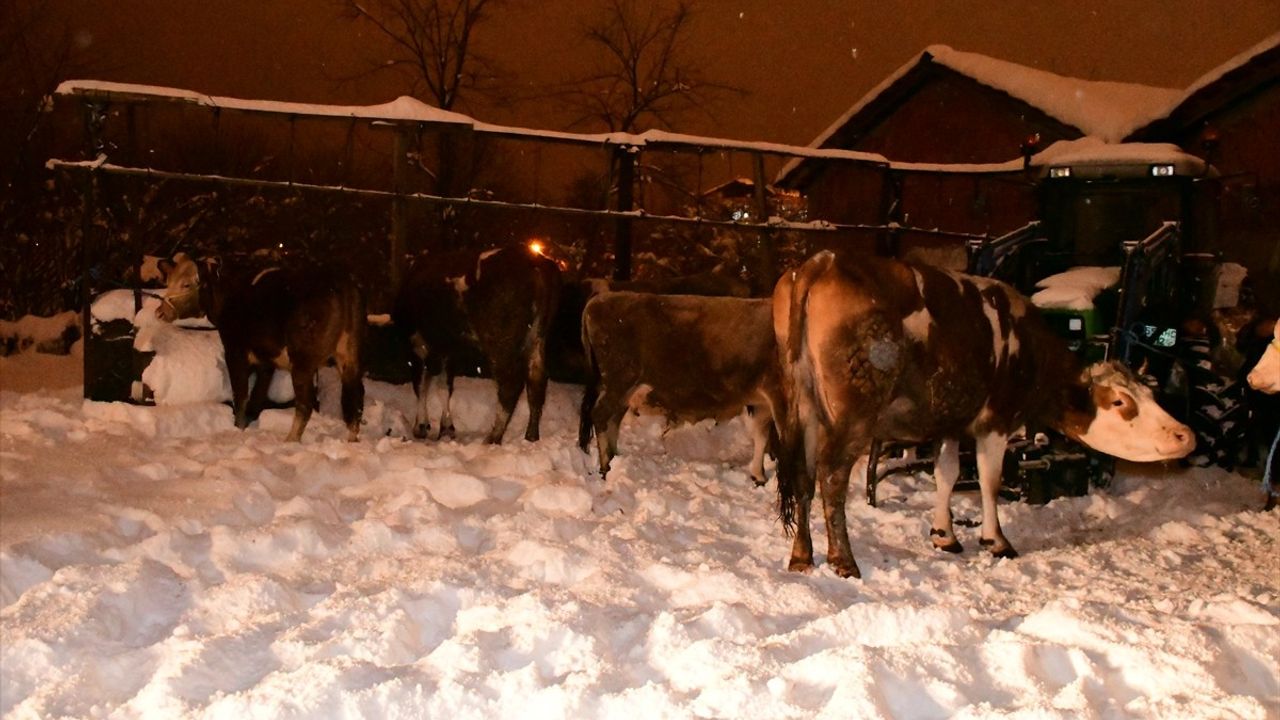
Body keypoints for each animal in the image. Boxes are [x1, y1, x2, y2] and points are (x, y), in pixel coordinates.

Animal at [158, 252, 366, 443]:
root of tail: (340, 284)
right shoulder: (266, 362)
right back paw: (351, 440)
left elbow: (241, 394)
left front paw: (238, 429)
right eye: (169, 281)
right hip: (350, 357)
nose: (160, 312)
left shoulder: (235, 351)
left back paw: (291, 439)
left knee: (306, 402)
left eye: (186, 284)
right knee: (355, 397)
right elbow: (258, 395)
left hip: (302, 361)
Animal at [394, 243, 560, 440]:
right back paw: (531, 436)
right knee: (537, 381)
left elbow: (420, 385)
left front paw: (420, 426)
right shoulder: (447, 350)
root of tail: (535, 260)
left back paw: (494, 436)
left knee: (510, 383)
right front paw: (446, 427)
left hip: (500, 342)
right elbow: (443, 386)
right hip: (537, 338)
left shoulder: (416, 344)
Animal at [578, 288, 778, 484]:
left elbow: (761, 435)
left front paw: (759, 475)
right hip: (618, 382)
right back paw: (606, 467)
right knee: (601, 415)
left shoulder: (763, 403)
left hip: (624, 392)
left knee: (613, 418)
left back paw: (614, 459)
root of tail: (597, 301)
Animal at [773, 249, 1192, 573]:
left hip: (803, 406)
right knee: (831, 475)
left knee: (802, 474)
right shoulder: (996, 419)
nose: (1185, 435)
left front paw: (944, 535)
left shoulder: (951, 421)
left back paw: (802, 557)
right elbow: (989, 480)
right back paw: (843, 561)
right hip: (851, 414)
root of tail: (823, 261)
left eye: (1150, 393)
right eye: (1120, 402)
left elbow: (946, 474)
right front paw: (996, 540)